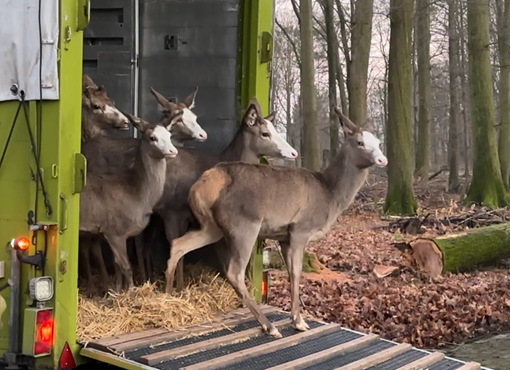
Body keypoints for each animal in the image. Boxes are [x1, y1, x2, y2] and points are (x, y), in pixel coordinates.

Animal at [78, 112, 180, 292]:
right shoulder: (114, 231)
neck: (136, 193)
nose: (172, 151)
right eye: (152, 137)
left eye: (169, 135)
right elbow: (126, 266)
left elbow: (118, 264)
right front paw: (130, 291)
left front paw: (119, 289)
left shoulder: (121, 234)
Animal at [163, 108, 386, 336]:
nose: (382, 160)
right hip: (244, 224)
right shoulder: (300, 229)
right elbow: (296, 273)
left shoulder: (284, 237)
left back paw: (167, 296)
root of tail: (204, 185)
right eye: (360, 142)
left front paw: (295, 317)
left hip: (211, 227)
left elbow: (290, 273)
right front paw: (299, 321)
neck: (331, 194)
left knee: (178, 245)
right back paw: (268, 326)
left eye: (378, 142)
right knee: (233, 271)